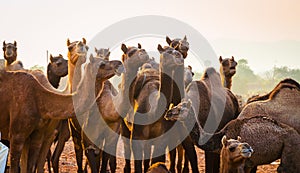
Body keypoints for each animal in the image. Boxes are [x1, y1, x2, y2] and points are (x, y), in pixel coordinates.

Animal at [165, 101, 300, 172]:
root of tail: (297, 134)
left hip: (290, 148)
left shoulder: (244, 163)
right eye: (176, 105)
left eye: (181, 108)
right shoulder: (249, 163)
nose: (168, 113)